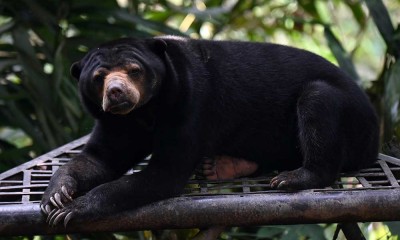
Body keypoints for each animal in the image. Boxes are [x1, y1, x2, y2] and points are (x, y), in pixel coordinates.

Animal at [39, 36, 378, 227]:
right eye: (99, 77)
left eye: (135, 71)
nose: (117, 93)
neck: (143, 112)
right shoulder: (115, 122)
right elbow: (99, 158)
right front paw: (55, 196)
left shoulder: (190, 104)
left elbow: (166, 172)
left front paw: (74, 209)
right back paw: (223, 166)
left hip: (350, 117)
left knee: (318, 100)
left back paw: (292, 177)